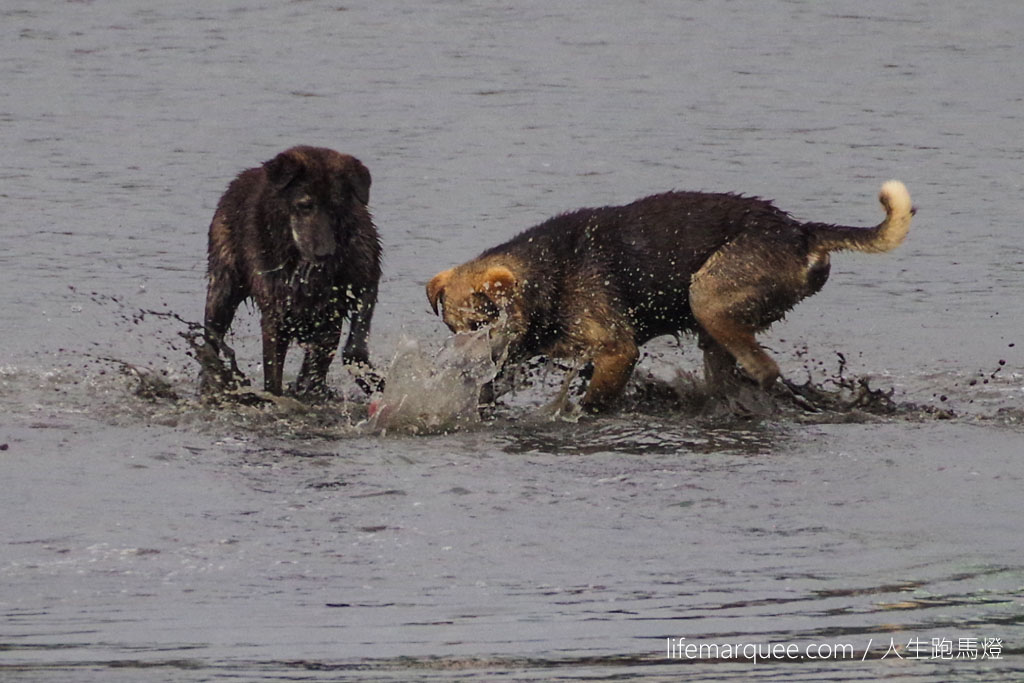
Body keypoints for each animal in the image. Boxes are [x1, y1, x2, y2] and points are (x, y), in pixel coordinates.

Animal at [199, 147, 380, 397]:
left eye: (336, 207)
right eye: (304, 205)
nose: (324, 253)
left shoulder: (364, 281)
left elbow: (354, 345)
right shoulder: (276, 315)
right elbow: (273, 375)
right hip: (223, 288)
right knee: (211, 338)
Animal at [423, 180, 913, 411]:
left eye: (481, 324)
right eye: (453, 329)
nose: (461, 365)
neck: (550, 274)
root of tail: (801, 232)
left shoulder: (618, 350)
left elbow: (594, 401)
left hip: (707, 297)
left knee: (766, 371)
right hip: (716, 325)